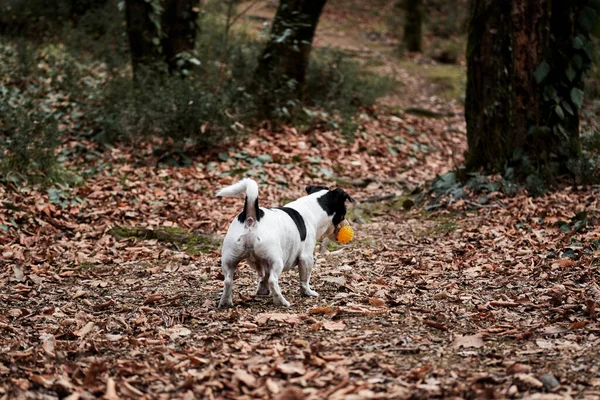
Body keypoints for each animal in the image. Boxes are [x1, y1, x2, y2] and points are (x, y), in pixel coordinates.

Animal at [216, 179, 354, 310]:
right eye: (344, 213)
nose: (347, 224)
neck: (311, 208)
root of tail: (251, 216)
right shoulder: (306, 258)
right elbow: (304, 279)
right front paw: (308, 292)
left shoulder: (266, 263)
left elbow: (264, 277)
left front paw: (262, 290)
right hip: (277, 260)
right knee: (273, 280)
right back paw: (281, 301)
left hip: (229, 260)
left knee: (228, 281)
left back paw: (225, 302)